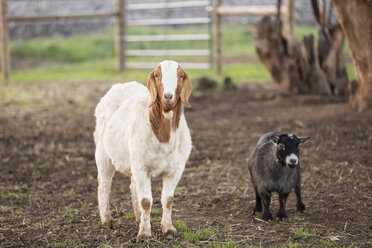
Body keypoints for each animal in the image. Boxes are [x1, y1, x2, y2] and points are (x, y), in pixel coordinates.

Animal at [93, 60, 192, 242]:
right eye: (157, 75)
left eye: (181, 76)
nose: (168, 97)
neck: (163, 135)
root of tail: (120, 86)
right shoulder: (141, 167)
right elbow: (146, 201)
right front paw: (145, 233)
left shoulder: (175, 169)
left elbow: (168, 200)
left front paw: (168, 229)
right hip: (103, 153)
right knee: (104, 185)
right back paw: (107, 220)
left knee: (133, 187)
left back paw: (139, 218)